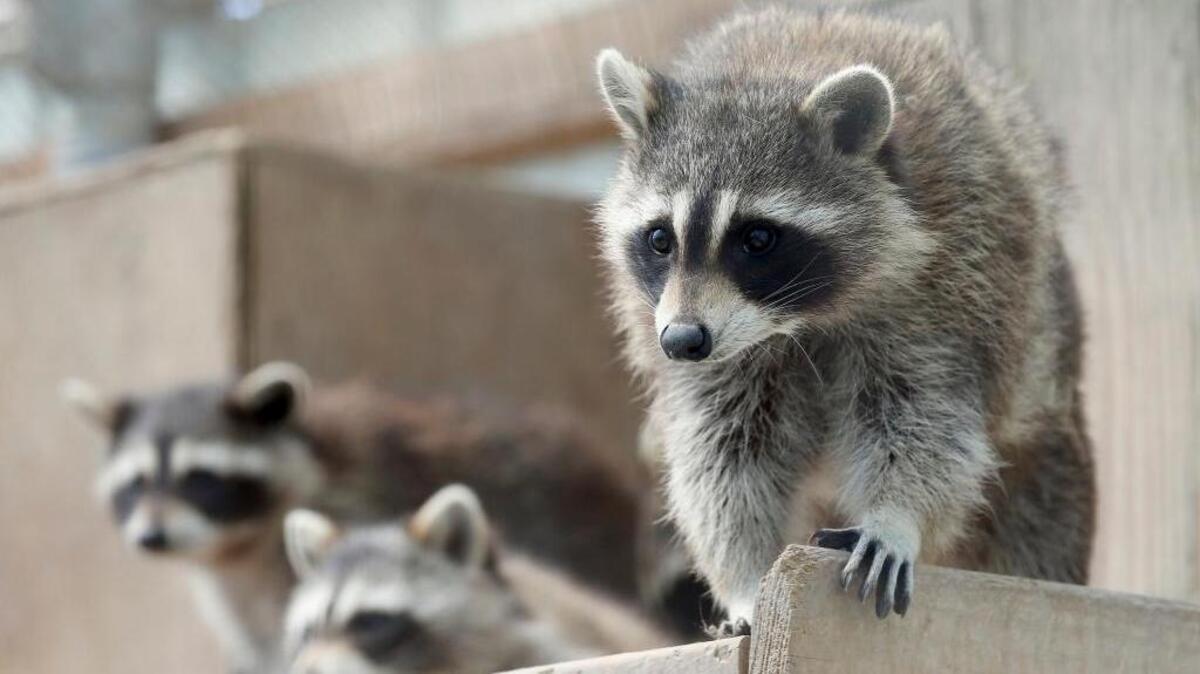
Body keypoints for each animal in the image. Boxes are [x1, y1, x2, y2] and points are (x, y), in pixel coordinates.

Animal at [594, 8, 1094, 631]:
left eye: (757, 239)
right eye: (660, 239)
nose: (683, 341)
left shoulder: (954, 286)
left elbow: (927, 419)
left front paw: (894, 517)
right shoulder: (705, 352)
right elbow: (724, 456)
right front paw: (747, 582)